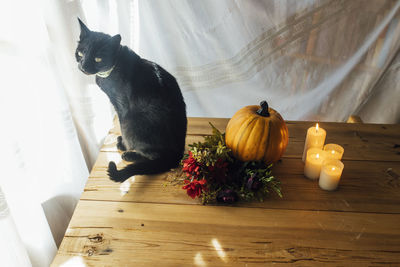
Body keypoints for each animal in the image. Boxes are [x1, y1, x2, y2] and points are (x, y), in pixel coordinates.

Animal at [75, 18, 188, 182]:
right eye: (80, 53)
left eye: (98, 58)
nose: (83, 66)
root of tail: (177, 154)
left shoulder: (122, 107)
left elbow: (122, 127)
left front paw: (124, 145)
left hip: (133, 121)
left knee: (152, 156)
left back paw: (130, 154)